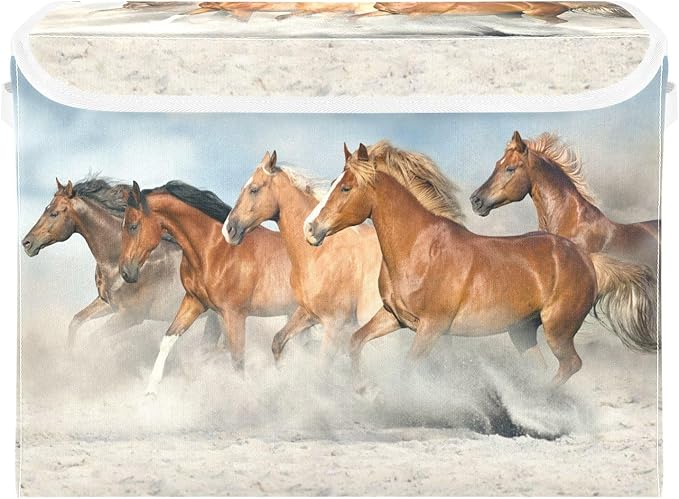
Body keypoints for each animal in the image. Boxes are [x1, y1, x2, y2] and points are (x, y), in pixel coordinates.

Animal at [21, 177, 222, 350]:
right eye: (46, 208)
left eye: (54, 213)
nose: (26, 243)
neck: (116, 260)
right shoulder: (108, 303)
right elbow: (76, 321)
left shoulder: (130, 316)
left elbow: (94, 339)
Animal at [119, 180, 296, 395]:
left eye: (133, 226)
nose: (125, 272)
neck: (215, 250)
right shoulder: (195, 302)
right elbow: (168, 339)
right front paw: (150, 392)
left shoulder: (234, 315)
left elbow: (238, 360)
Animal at [223, 151, 382, 362]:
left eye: (254, 189)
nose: (228, 229)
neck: (321, 253)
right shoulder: (308, 312)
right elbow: (278, 341)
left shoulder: (334, 323)